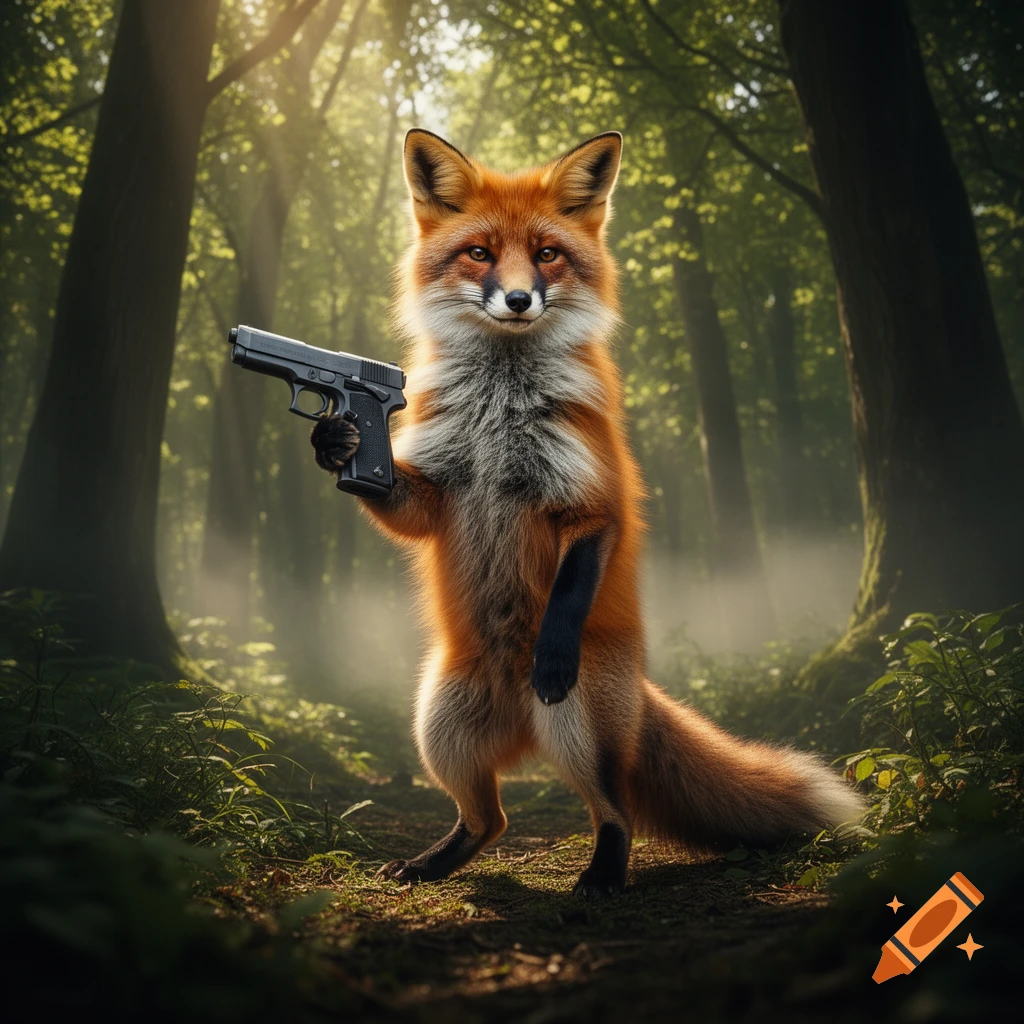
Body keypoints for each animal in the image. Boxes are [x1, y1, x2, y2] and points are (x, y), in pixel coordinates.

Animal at [310, 128, 863, 898]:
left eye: (547, 254)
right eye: (479, 252)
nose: (517, 299)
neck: (501, 403)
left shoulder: (594, 501)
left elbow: (571, 585)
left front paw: (551, 653)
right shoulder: (438, 492)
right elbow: (400, 504)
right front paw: (334, 441)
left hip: (575, 728)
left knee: (615, 809)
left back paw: (601, 875)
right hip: (438, 730)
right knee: (489, 820)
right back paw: (430, 864)